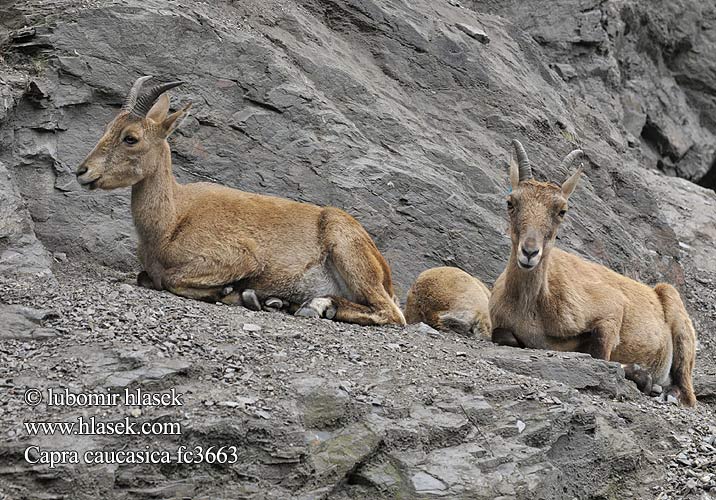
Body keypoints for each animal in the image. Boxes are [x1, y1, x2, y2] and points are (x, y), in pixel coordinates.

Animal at [77, 76, 406, 326]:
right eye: (108, 128)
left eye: (130, 138)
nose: (82, 171)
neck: (172, 220)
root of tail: (386, 273)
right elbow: (146, 277)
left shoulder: (239, 256)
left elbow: (171, 279)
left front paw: (233, 293)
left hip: (347, 250)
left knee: (391, 314)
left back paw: (315, 305)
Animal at [490, 140, 696, 406]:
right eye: (511, 202)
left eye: (562, 210)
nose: (529, 252)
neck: (531, 308)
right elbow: (503, 336)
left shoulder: (611, 308)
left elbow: (601, 355)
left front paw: (641, 375)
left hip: (678, 320)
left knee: (689, 393)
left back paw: (667, 392)